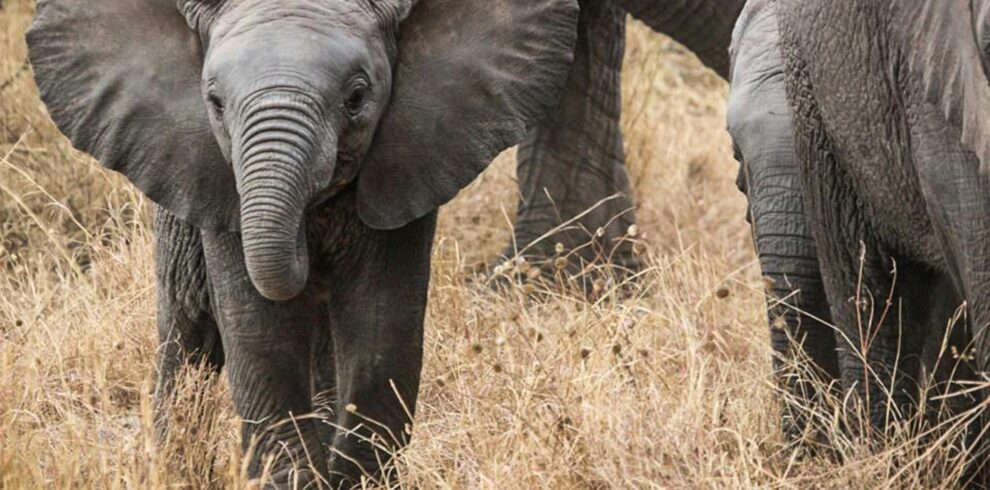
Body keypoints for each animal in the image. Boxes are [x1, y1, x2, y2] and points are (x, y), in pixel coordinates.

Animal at [27, 0, 579, 486]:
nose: (307, 246)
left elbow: (381, 327)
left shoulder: (413, 158)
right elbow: (259, 332)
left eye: (357, 97)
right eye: (215, 103)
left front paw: (354, 481)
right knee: (188, 332)